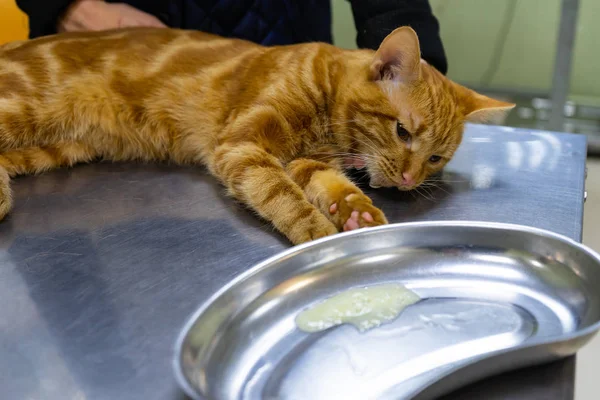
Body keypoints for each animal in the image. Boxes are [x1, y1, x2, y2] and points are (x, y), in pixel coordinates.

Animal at [0, 25, 512, 244]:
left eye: (436, 159)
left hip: (57, 146)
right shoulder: (242, 146)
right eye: (403, 131)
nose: (409, 181)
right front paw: (315, 232)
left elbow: (330, 185)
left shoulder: (308, 161)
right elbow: (280, 193)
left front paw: (355, 212)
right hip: (20, 109)